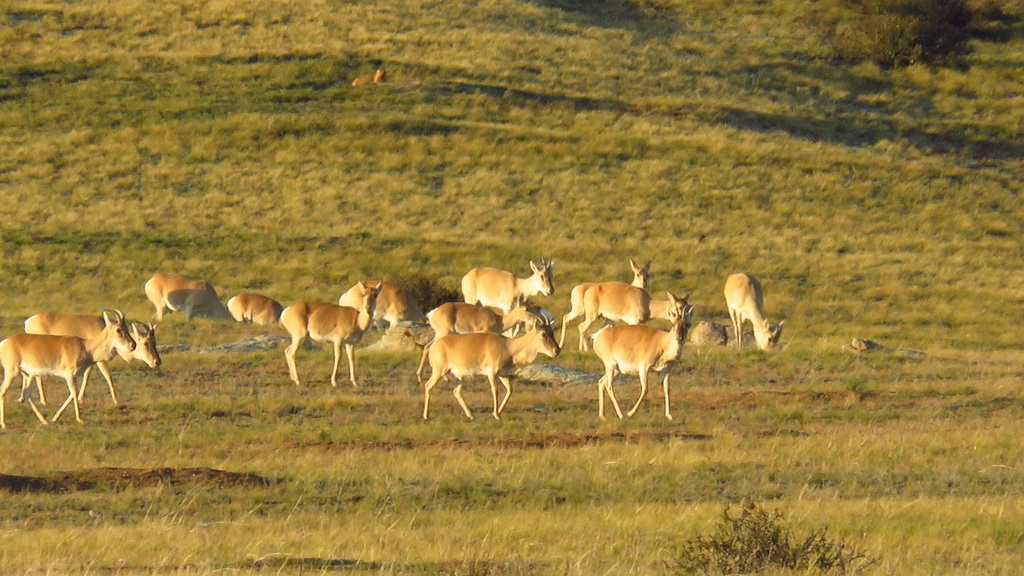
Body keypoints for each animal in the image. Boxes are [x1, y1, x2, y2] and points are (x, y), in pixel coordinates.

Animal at [0, 310, 135, 428]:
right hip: (12, 373)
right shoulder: (69, 375)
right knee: (3, 391)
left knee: (27, 394)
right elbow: (74, 393)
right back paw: (4, 424)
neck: (85, 346)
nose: (133, 345)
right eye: (118, 329)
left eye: (127, 328)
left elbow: (72, 394)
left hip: (30, 375)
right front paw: (80, 419)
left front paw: (55, 418)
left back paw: (44, 420)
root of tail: (5, 342)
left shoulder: (73, 377)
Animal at [22, 313, 161, 405]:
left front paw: (80, 398)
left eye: (155, 341)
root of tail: (29, 320)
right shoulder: (100, 361)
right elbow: (107, 375)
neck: (105, 329)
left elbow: (87, 375)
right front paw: (116, 400)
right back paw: (43, 401)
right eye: (146, 343)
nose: (157, 362)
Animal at [414, 302, 547, 382]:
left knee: (427, 347)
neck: (498, 320)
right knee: (429, 347)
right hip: (443, 333)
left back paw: (421, 376)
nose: (537, 320)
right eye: (526, 308)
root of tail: (432, 313)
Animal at [422, 324, 561, 420]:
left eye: (552, 332)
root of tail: (434, 346)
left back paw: (471, 415)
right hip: (438, 372)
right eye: (543, 334)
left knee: (457, 392)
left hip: (458, 377)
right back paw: (426, 416)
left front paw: (499, 412)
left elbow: (510, 389)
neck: (508, 346)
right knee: (428, 386)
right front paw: (496, 415)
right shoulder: (491, 373)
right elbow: (495, 391)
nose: (557, 350)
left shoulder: (502, 374)